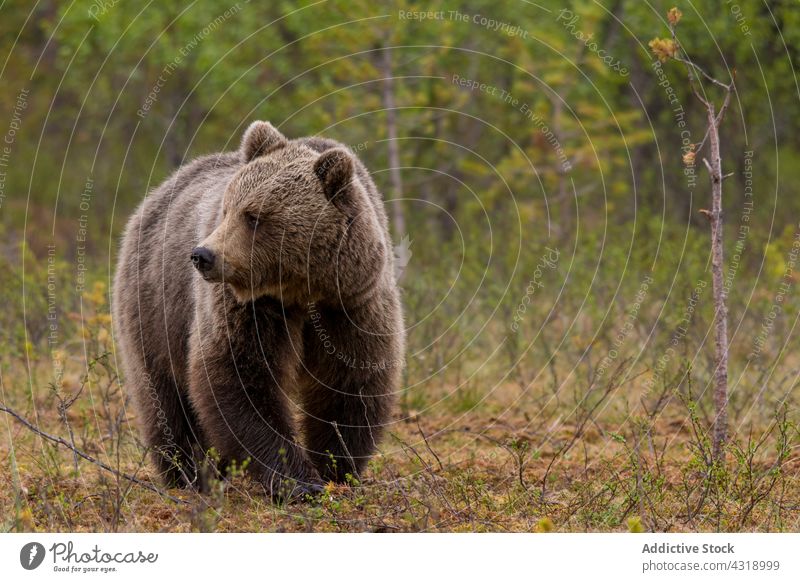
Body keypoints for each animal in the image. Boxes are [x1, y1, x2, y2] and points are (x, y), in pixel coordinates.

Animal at [112, 121, 406, 500]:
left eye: (254, 216)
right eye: (226, 209)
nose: (203, 255)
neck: (301, 290)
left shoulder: (350, 304)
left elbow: (349, 380)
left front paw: (336, 468)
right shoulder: (247, 308)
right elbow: (241, 374)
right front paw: (298, 480)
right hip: (154, 308)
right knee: (165, 396)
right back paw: (187, 473)